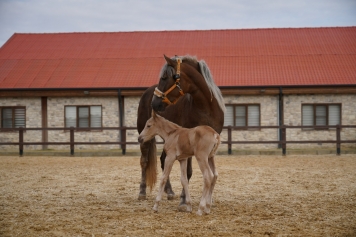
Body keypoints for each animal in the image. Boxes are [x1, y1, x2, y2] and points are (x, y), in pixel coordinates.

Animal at [137, 55, 225, 209]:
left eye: (165, 77)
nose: (155, 103)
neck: (206, 107)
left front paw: (208, 200)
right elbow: (188, 172)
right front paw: (184, 201)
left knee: (162, 160)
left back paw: (170, 192)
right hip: (145, 138)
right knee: (144, 161)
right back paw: (142, 192)